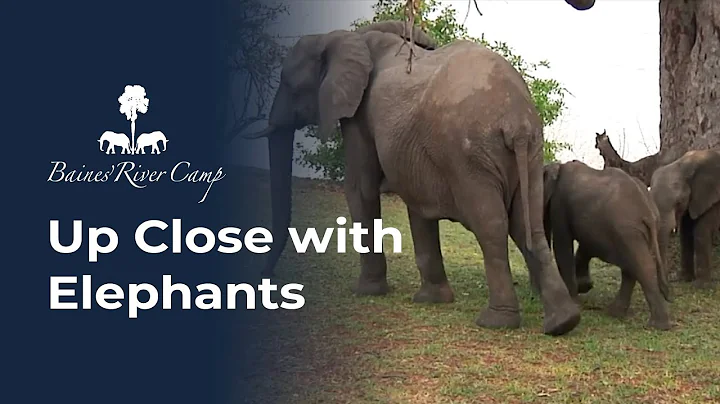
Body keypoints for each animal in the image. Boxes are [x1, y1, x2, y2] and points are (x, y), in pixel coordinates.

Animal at [240, 20, 581, 336]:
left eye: (289, 85)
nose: (263, 280)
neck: (350, 38)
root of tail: (516, 120)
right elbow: (418, 202)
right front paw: (432, 300)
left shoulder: (360, 116)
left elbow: (361, 188)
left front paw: (366, 291)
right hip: (531, 151)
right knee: (528, 225)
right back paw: (562, 322)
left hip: (468, 155)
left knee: (492, 225)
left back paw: (496, 322)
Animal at [537, 160, 671, 330]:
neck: (557, 166)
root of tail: (648, 213)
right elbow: (587, 244)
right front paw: (585, 286)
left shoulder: (559, 203)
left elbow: (563, 246)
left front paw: (575, 299)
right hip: (633, 232)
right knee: (631, 267)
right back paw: (615, 313)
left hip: (626, 229)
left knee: (641, 266)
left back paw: (657, 325)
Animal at [649, 149, 720, 289]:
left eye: (678, 202)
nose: (668, 288)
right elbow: (685, 233)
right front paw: (685, 279)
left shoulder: (711, 197)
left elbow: (700, 231)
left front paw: (700, 285)